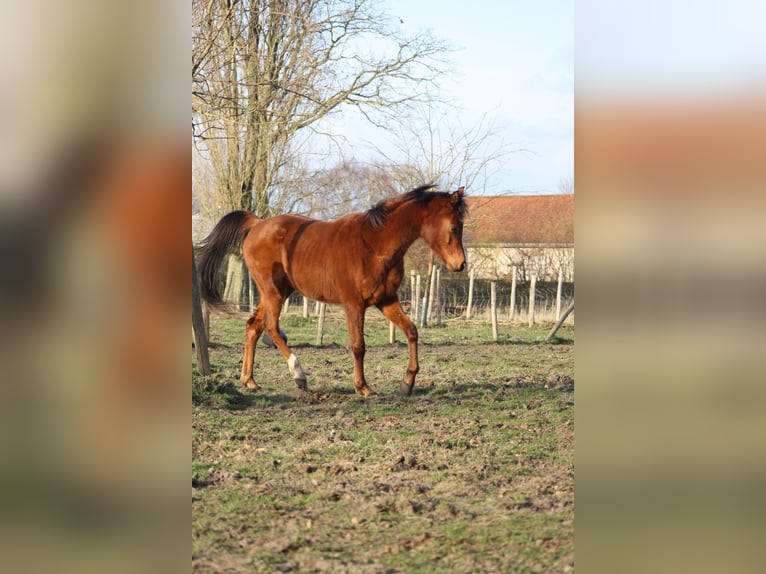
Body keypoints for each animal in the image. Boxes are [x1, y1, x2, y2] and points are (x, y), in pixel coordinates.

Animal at [197, 184, 468, 397]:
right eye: (455, 228)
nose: (461, 264)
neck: (374, 244)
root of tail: (258, 224)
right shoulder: (353, 304)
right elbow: (358, 345)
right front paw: (363, 387)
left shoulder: (387, 300)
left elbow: (411, 331)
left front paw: (407, 382)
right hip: (273, 292)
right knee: (271, 328)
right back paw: (299, 374)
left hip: (277, 292)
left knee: (253, 326)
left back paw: (249, 381)